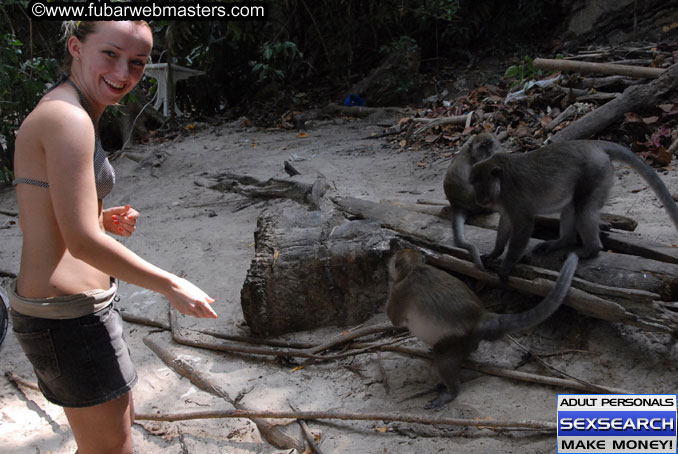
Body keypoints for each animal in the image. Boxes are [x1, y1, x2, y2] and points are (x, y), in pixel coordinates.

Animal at [388, 248, 580, 408]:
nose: (390, 257)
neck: (415, 267)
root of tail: (482, 319)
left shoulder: (398, 292)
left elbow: (395, 319)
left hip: (458, 340)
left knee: (442, 356)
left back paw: (451, 391)